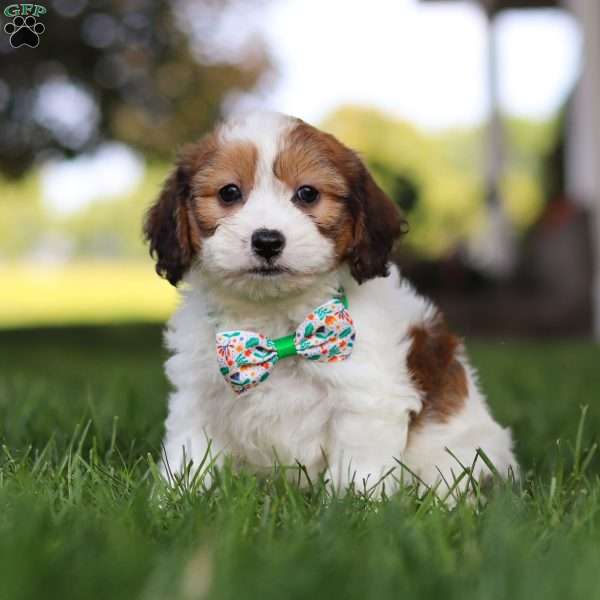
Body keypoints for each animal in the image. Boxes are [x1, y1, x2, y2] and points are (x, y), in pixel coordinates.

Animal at [144, 111, 516, 496]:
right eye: (229, 192)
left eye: (307, 193)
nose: (267, 241)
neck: (276, 324)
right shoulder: (198, 395)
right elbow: (187, 455)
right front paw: (171, 499)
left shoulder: (364, 400)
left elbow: (359, 472)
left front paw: (355, 505)